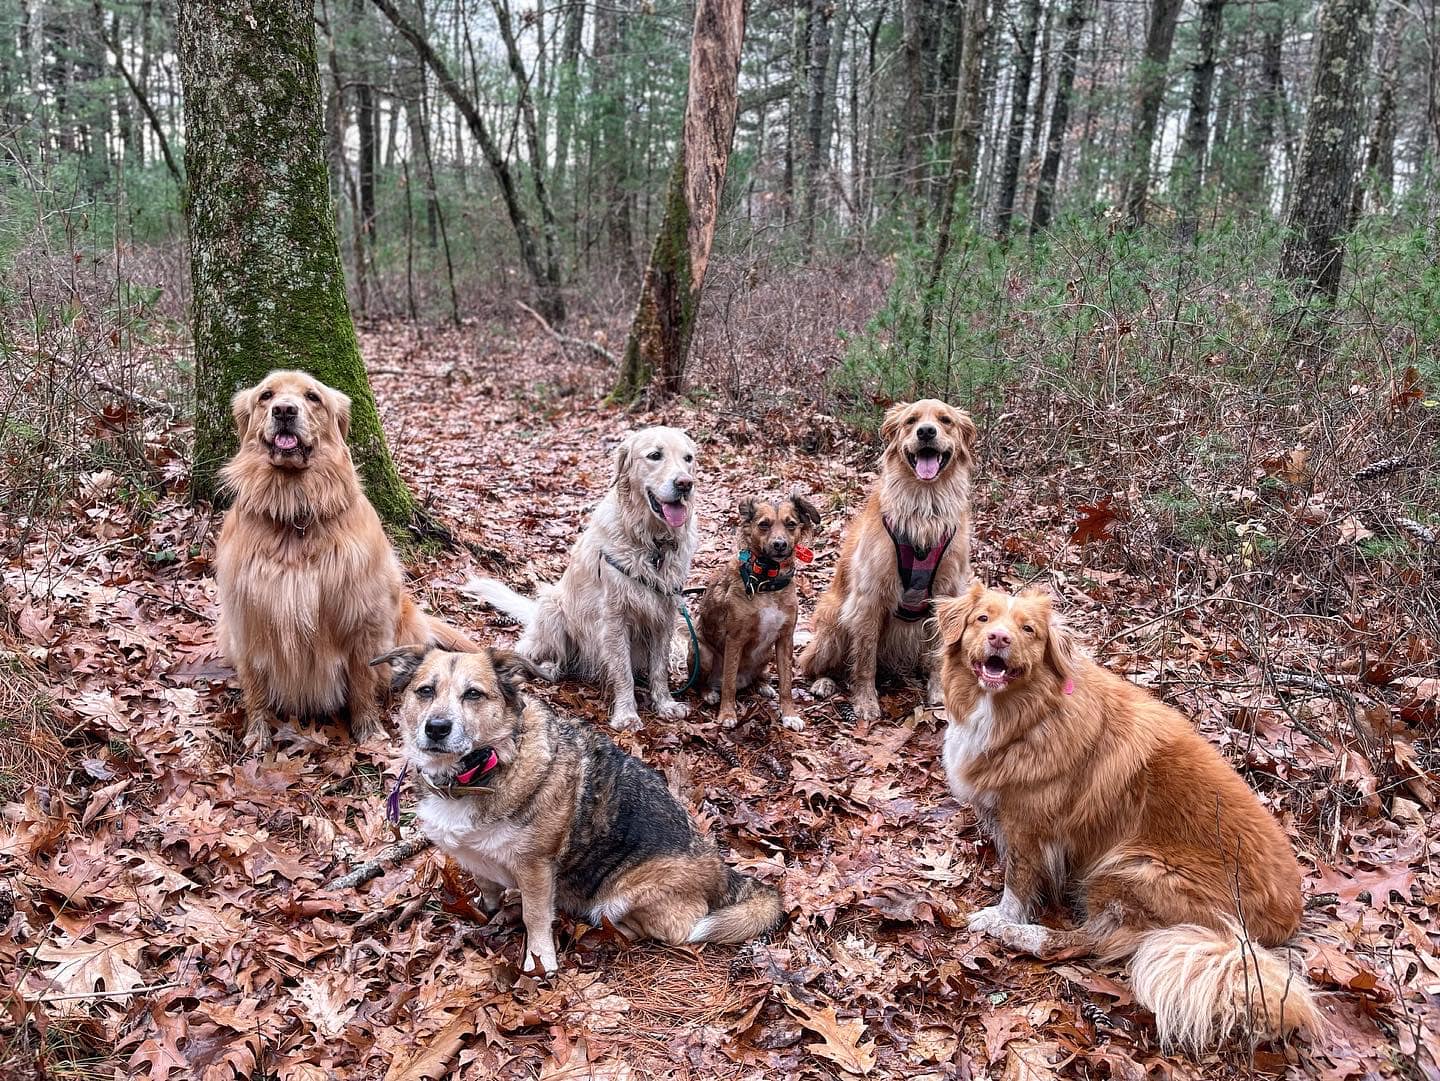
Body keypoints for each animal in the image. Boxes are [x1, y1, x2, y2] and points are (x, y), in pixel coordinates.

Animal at [216, 371, 472, 754]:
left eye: (312, 397)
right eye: (266, 396)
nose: (285, 410)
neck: (295, 515)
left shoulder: (362, 618)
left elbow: (363, 681)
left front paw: (369, 731)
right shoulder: (248, 618)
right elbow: (255, 685)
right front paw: (257, 732)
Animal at [377, 647, 783, 978]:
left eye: (473, 694)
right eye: (425, 691)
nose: (436, 728)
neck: (484, 768)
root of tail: (722, 872)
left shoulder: (536, 868)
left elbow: (535, 917)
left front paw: (540, 961)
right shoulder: (479, 859)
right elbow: (487, 885)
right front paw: (485, 909)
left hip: (622, 896)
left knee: (668, 930)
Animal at [466, 426, 696, 731]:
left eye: (688, 458)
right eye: (655, 455)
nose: (685, 484)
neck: (652, 543)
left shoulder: (664, 614)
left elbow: (659, 667)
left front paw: (665, 704)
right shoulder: (614, 617)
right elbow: (623, 671)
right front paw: (626, 715)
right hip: (552, 608)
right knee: (533, 651)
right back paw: (548, 667)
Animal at [694, 495, 823, 731]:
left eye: (791, 524)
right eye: (764, 524)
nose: (780, 544)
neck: (767, 581)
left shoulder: (784, 639)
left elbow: (786, 683)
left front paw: (789, 714)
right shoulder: (734, 639)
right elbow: (728, 683)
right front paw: (727, 713)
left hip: (767, 653)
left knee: (757, 677)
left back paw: (763, 685)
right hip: (703, 652)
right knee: (704, 682)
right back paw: (709, 693)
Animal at [933, 584, 1319, 1047]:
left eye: (1028, 630)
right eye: (983, 619)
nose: (999, 639)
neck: (1027, 717)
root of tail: (1287, 920)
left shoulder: (1029, 825)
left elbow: (1019, 881)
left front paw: (1002, 916)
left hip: (1134, 866)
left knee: (1084, 942)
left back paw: (1017, 935)